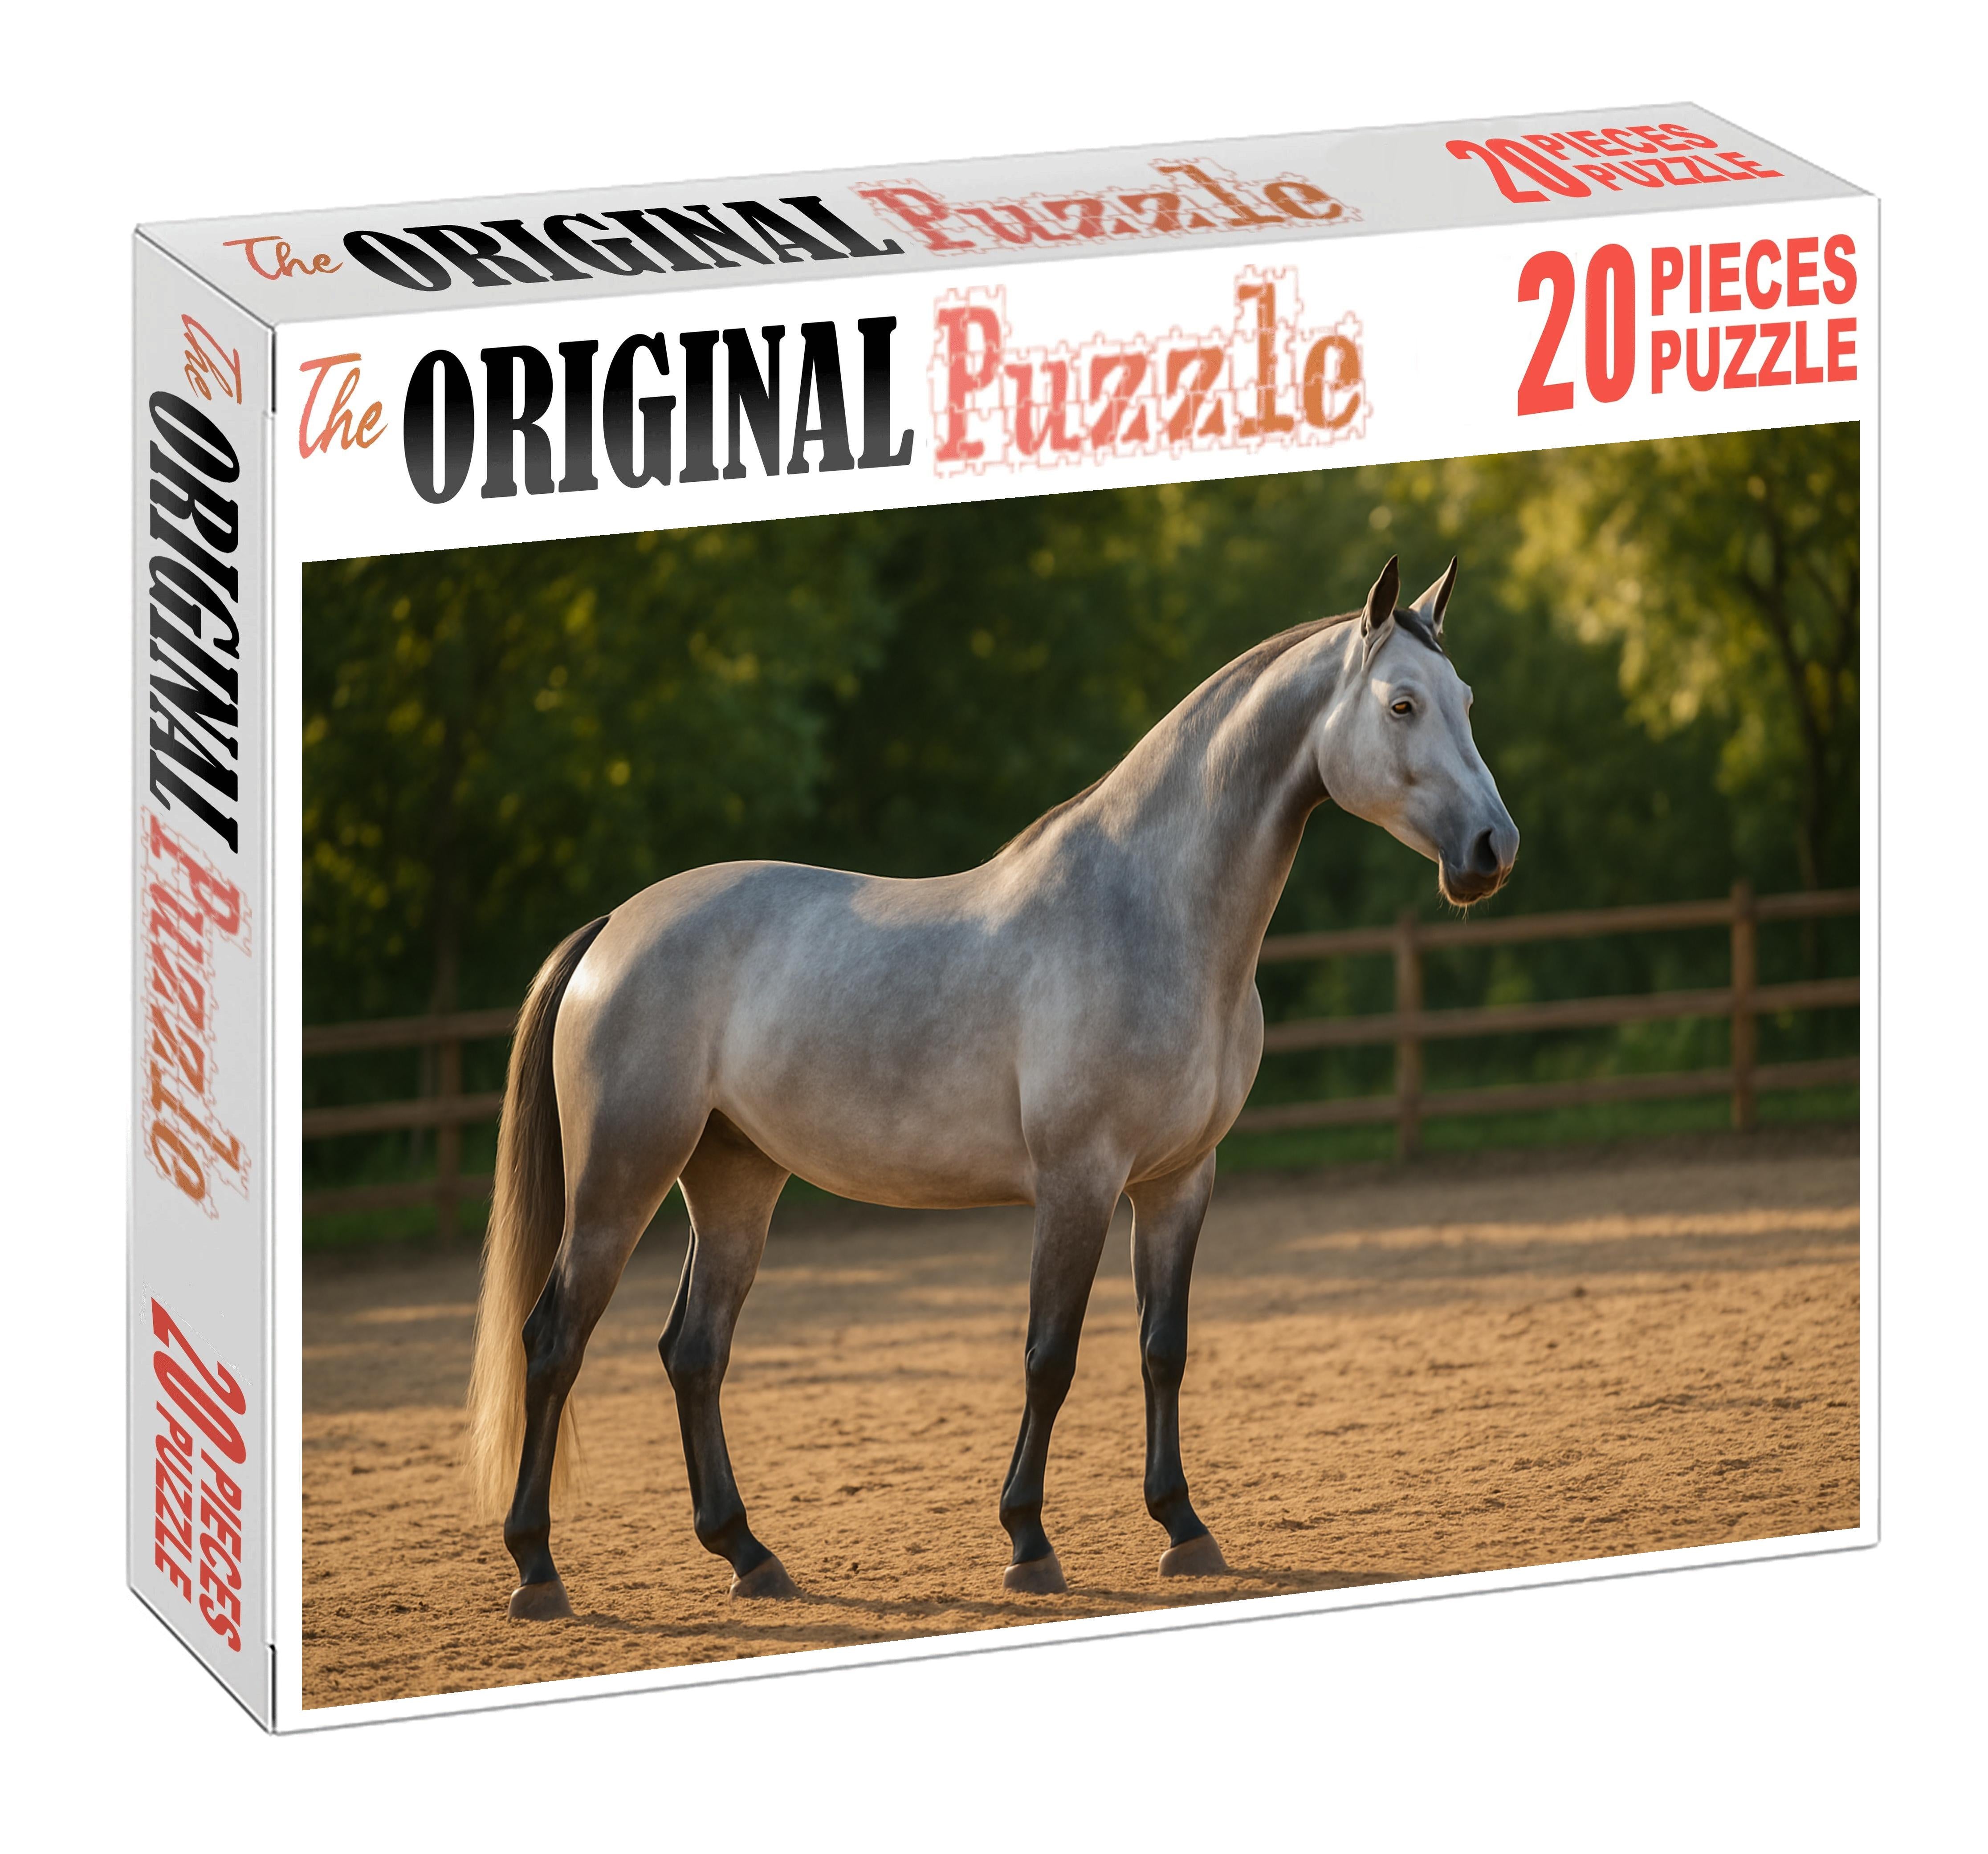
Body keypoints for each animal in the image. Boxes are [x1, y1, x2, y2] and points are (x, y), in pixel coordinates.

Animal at [465, 554, 1519, 1619]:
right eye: (1400, 704)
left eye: (1469, 700)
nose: (1492, 850)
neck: (1150, 914)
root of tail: (612, 927)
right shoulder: (1078, 1181)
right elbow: (1049, 1357)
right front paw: (1027, 1543)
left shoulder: (1178, 1182)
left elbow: (1163, 1348)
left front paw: (1184, 1528)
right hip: (623, 1176)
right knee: (554, 1340)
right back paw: (537, 1569)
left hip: (734, 1177)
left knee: (694, 1351)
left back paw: (749, 1556)